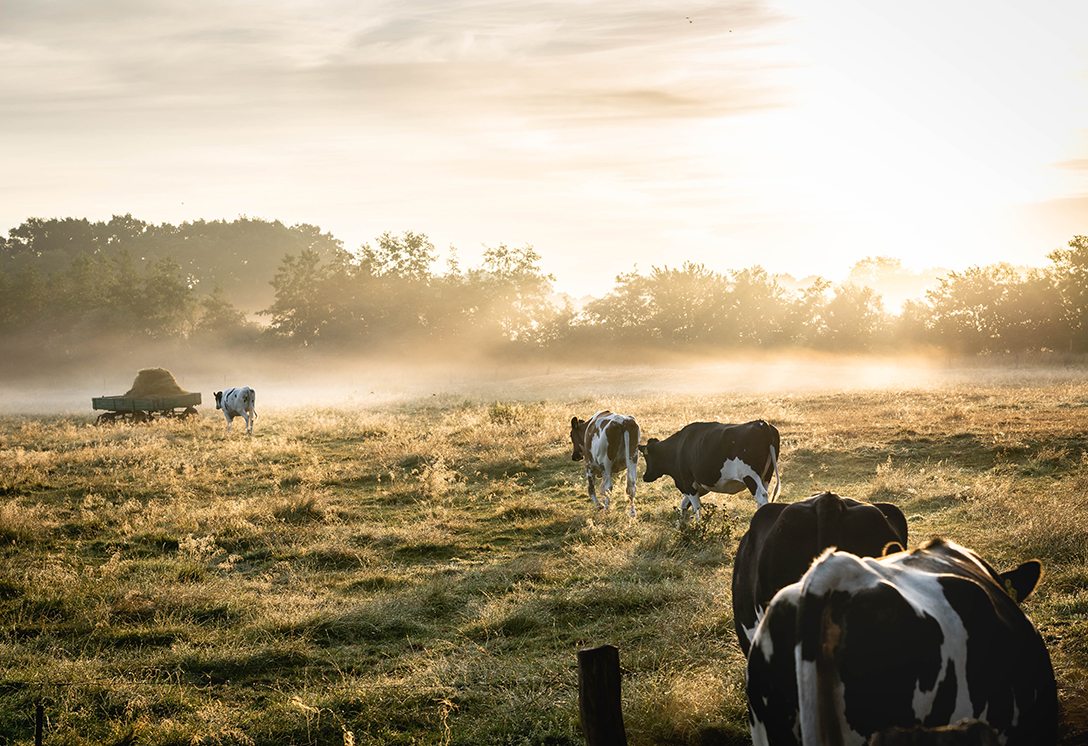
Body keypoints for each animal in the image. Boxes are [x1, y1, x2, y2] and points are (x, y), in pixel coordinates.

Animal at [635, 417, 783, 524]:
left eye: (647, 457)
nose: (645, 477)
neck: (678, 447)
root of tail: (762, 423)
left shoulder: (687, 482)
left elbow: (696, 508)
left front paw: (697, 526)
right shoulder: (700, 486)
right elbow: (684, 504)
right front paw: (681, 522)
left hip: (750, 475)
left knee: (761, 496)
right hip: (766, 476)